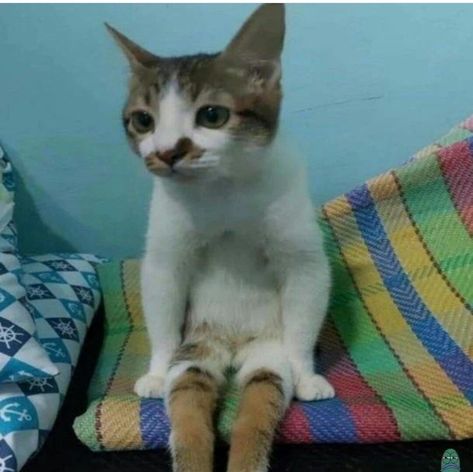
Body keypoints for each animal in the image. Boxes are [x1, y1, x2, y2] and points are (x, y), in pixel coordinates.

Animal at [108, 4, 336, 472]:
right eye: (143, 120)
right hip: (196, 348)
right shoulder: (166, 255)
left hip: (266, 351)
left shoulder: (302, 258)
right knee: (189, 395)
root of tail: (230, 348)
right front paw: (155, 371)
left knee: (261, 396)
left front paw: (307, 375)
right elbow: (163, 301)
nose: (166, 152)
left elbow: (306, 294)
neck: (223, 190)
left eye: (212, 115)